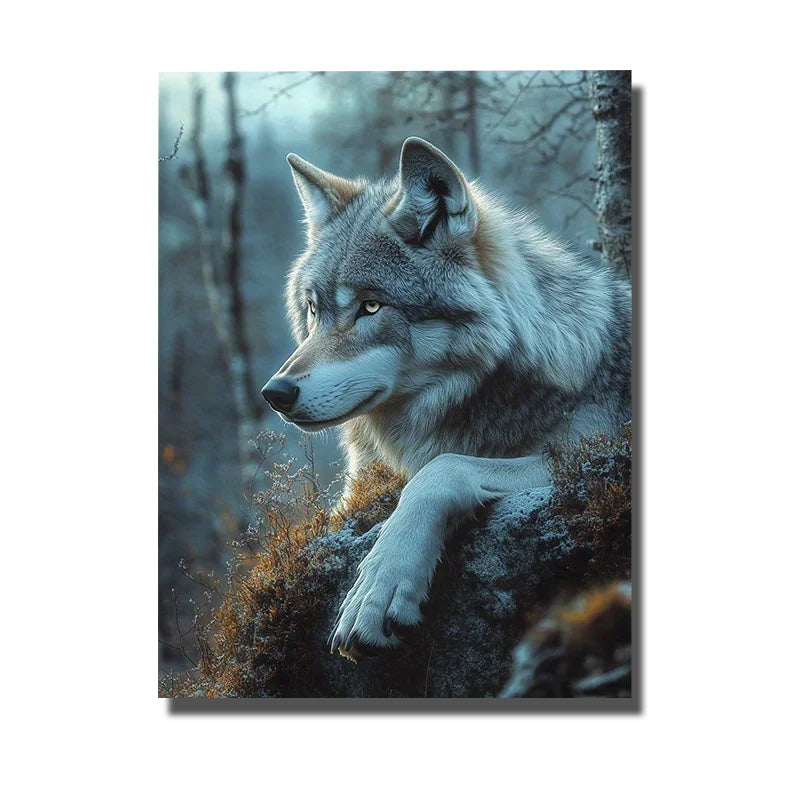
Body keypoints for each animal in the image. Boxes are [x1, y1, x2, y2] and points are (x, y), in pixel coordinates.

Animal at [261, 137, 631, 659]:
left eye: (370, 306)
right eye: (314, 310)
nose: (275, 392)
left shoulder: (599, 450)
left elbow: (441, 470)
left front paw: (378, 587)